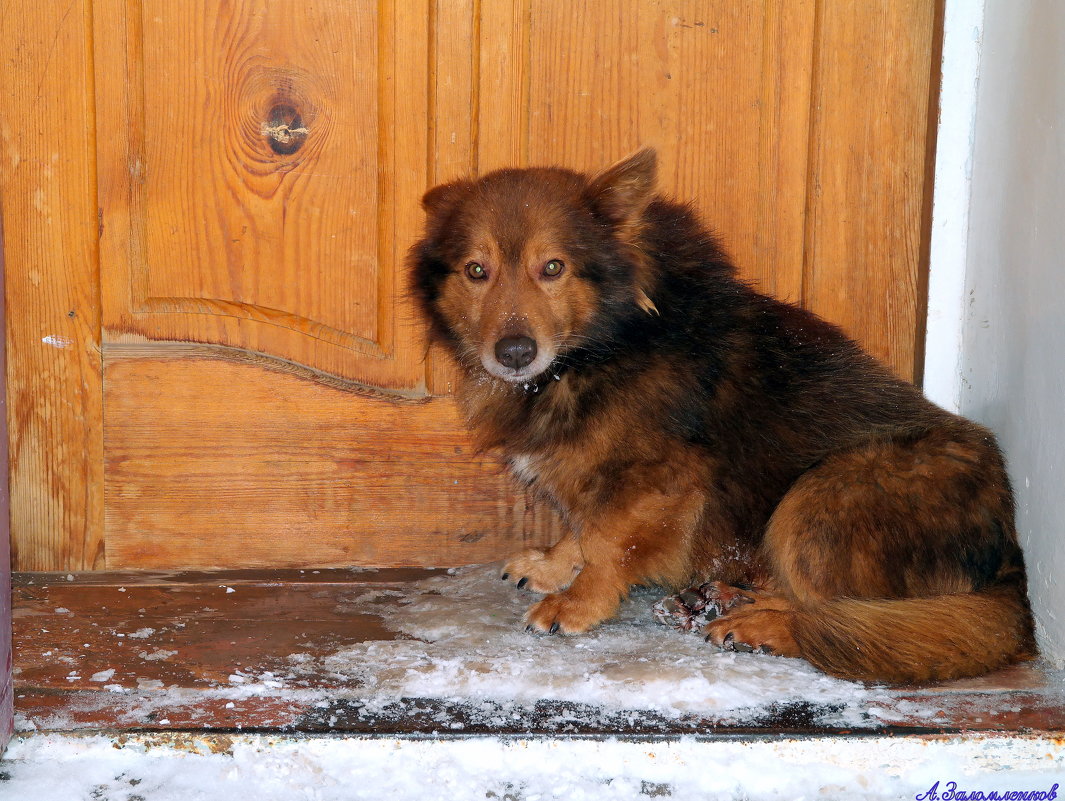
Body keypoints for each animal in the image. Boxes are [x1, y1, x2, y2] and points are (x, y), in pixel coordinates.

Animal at [411, 145, 1035, 681]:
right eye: (476, 271)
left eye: (553, 267)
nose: (514, 353)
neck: (602, 346)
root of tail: (1011, 563)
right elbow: (580, 529)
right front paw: (552, 564)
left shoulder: (662, 481)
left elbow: (607, 543)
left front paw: (579, 602)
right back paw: (733, 597)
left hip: (818, 496)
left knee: (842, 621)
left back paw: (762, 624)